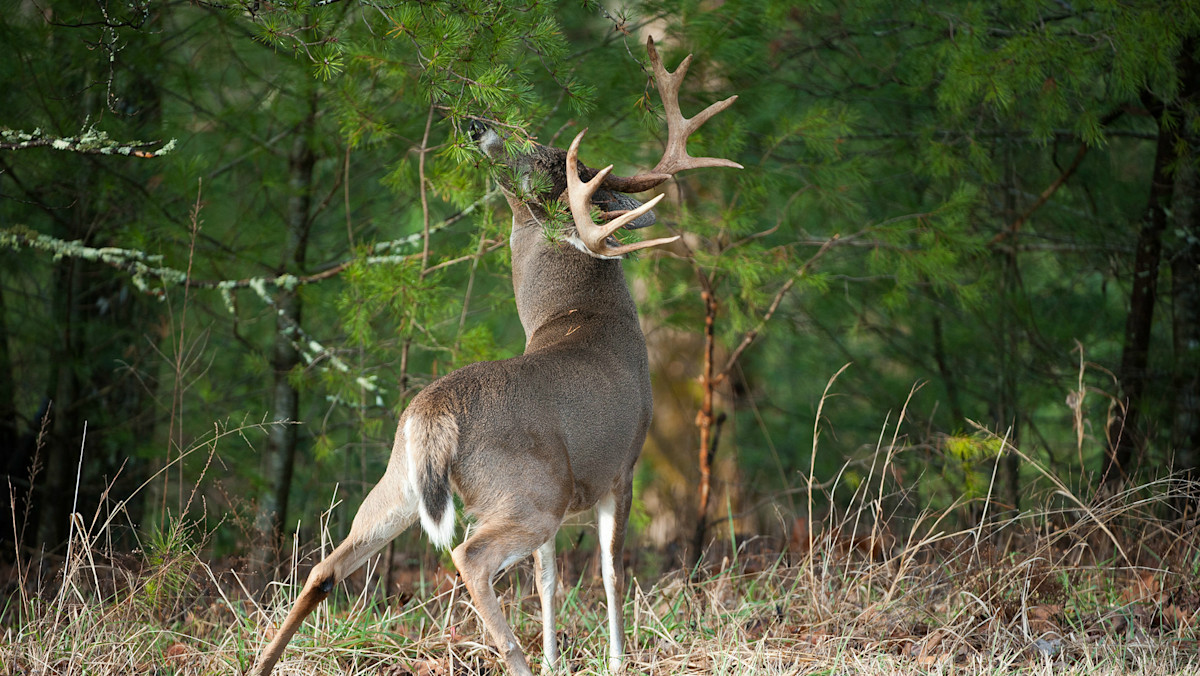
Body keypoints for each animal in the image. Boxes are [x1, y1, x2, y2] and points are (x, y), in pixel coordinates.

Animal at [251, 36, 740, 676]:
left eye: (541, 156)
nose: (477, 122)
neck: (585, 316)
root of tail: (430, 414)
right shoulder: (621, 466)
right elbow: (610, 574)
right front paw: (615, 659)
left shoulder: (589, 483)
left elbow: (550, 579)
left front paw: (559, 660)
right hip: (528, 492)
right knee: (468, 556)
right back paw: (514, 657)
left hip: (404, 481)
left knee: (326, 565)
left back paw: (262, 661)